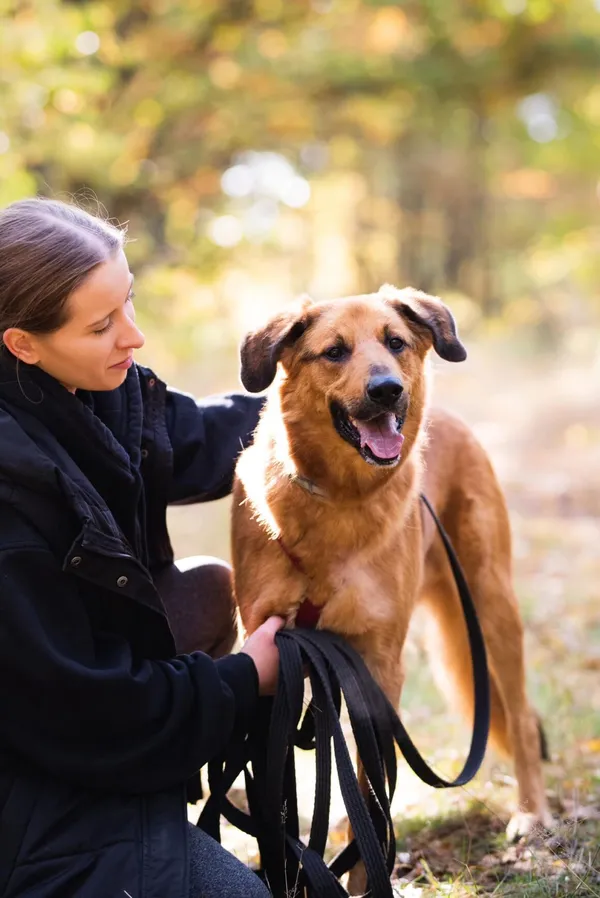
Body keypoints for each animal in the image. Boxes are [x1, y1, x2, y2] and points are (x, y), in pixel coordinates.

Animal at [231, 286, 552, 888]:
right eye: (334, 351)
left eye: (395, 342)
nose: (386, 390)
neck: (340, 502)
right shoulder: (274, 658)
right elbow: (280, 791)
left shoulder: (379, 666)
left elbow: (371, 797)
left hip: (492, 604)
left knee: (521, 717)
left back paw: (532, 815)